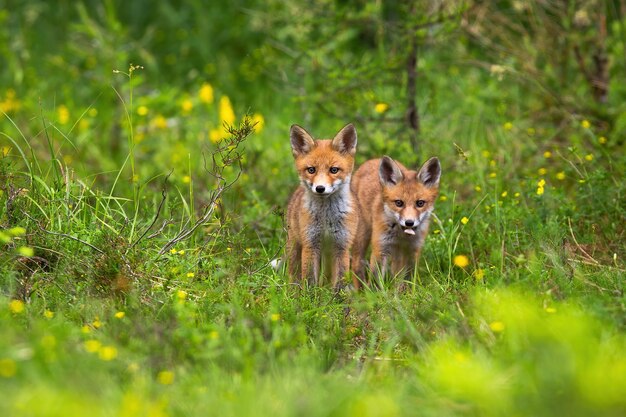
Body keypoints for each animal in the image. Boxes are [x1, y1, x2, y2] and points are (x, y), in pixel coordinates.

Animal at [282, 122, 356, 288]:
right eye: (311, 170)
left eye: (334, 170)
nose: (320, 188)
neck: (326, 217)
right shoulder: (311, 244)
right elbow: (309, 280)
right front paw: (309, 295)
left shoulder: (342, 246)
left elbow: (339, 283)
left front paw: (337, 296)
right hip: (295, 247)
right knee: (293, 274)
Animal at [348, 154, 442, 288]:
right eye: (399, 203)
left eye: (420, 203)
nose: (409, 222)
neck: (402, 236)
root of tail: (373, 160)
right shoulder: (380, 248)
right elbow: (376, 280)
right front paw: (377, 294)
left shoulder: (413, 250)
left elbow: (407, 279)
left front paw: (404, 293)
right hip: (362, 236)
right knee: (356, 264)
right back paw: (360, 290)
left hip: (397, 254)